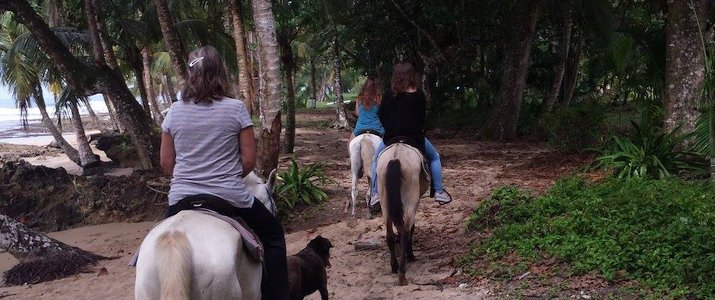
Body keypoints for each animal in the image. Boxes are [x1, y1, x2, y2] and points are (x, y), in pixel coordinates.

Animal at [378, 143, 428, 286]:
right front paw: (410, 255)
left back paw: (395, 266)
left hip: (385, 203)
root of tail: (396, 156)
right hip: (411, 202)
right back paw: (402, 273)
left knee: (389, 234)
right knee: (405, 232)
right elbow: (411, 228)